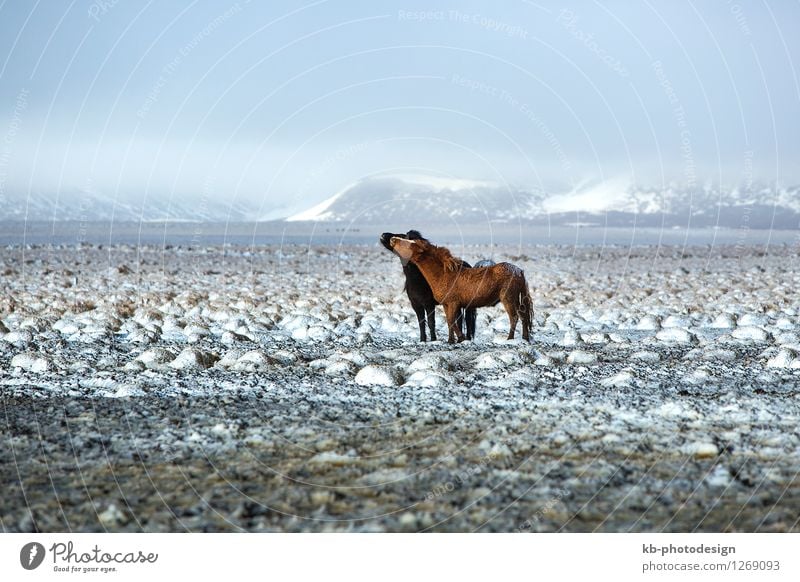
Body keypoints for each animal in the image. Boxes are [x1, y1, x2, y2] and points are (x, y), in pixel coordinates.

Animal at [390, 237, 536, 344]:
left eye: (411, 244)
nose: (392, 239)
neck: (443, 274)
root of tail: (519, 271)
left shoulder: (453, 303)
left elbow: (451, 321)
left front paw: (461, 338)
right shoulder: (446, 304)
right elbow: (449, 322)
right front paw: (450, 341)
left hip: (508, 298)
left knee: (514, 317)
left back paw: (510, 338)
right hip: (516, 299)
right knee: (523, 316)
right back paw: (525, 338)